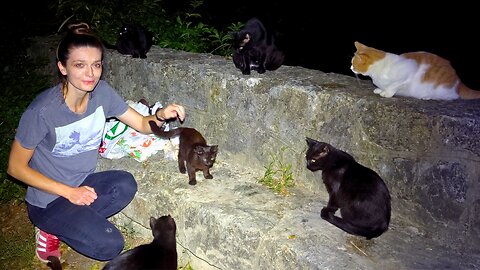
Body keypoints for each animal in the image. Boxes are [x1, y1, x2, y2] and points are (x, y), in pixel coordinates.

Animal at [348, 41, 480, 100]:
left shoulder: (408, 72)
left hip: (442, 90)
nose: (350, 68)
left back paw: (427, 97)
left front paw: (387, 93)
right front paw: (380, 89)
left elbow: (393, 86)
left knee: (451, 97)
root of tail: (458, 81)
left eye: (353, 64)